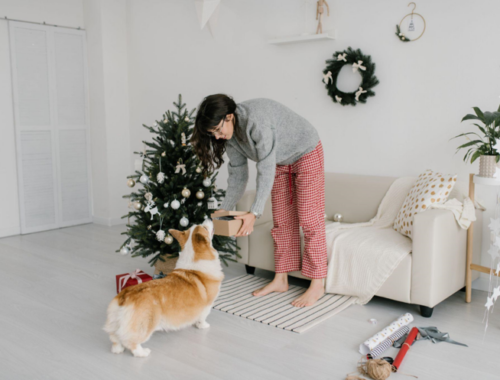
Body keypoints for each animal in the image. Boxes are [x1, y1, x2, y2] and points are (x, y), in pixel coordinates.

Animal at [103, 218, 223, 358]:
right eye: (204, 227)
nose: (208, 218)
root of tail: (125, 297)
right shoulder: (207, 305)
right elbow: (202, 317)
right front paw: (203, 325)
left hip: (115, 323)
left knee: (115, 338)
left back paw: (118, 349)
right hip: (146, 325)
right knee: (132, 342)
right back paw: (143, 352)